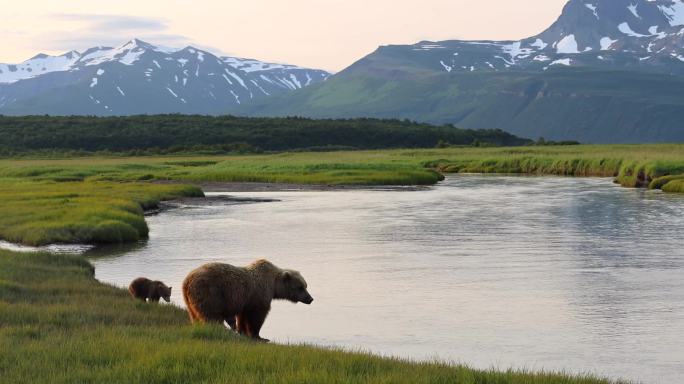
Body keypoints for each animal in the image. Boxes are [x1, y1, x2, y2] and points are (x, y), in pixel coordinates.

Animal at [180, 260, 312, 340]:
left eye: (306, 285)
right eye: (300, 287)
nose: (310, 298)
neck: (273, 285)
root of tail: (187, 281)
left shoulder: (245, 301)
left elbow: (243, 316)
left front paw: (242, 331)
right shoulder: (259, 295)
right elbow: (257, 316)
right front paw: (259, 336)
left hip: (189, 300)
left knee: (194, 315)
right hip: (210, 292)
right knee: (211, 315)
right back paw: (221, 330)